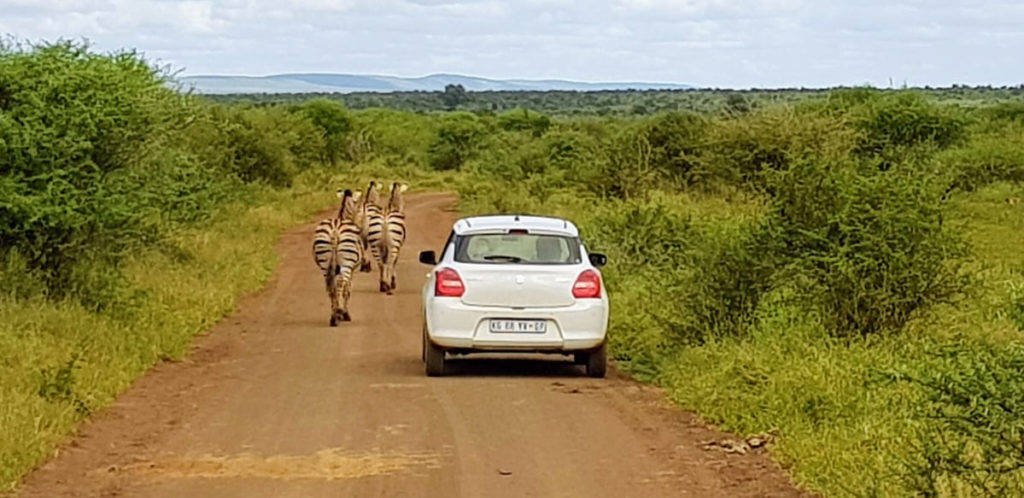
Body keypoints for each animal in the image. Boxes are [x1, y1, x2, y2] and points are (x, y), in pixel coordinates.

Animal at [313, 187, 366, 325]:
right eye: (359, 209)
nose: (361, 228)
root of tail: (335, 231)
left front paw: (339, 312)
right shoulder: (352, 269)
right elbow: (348, 289)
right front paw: (345, 313)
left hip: (324, 263)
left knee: (330, 286)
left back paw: (333, 317)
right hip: (347, 263)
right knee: (342, 283)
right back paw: (340, 313)